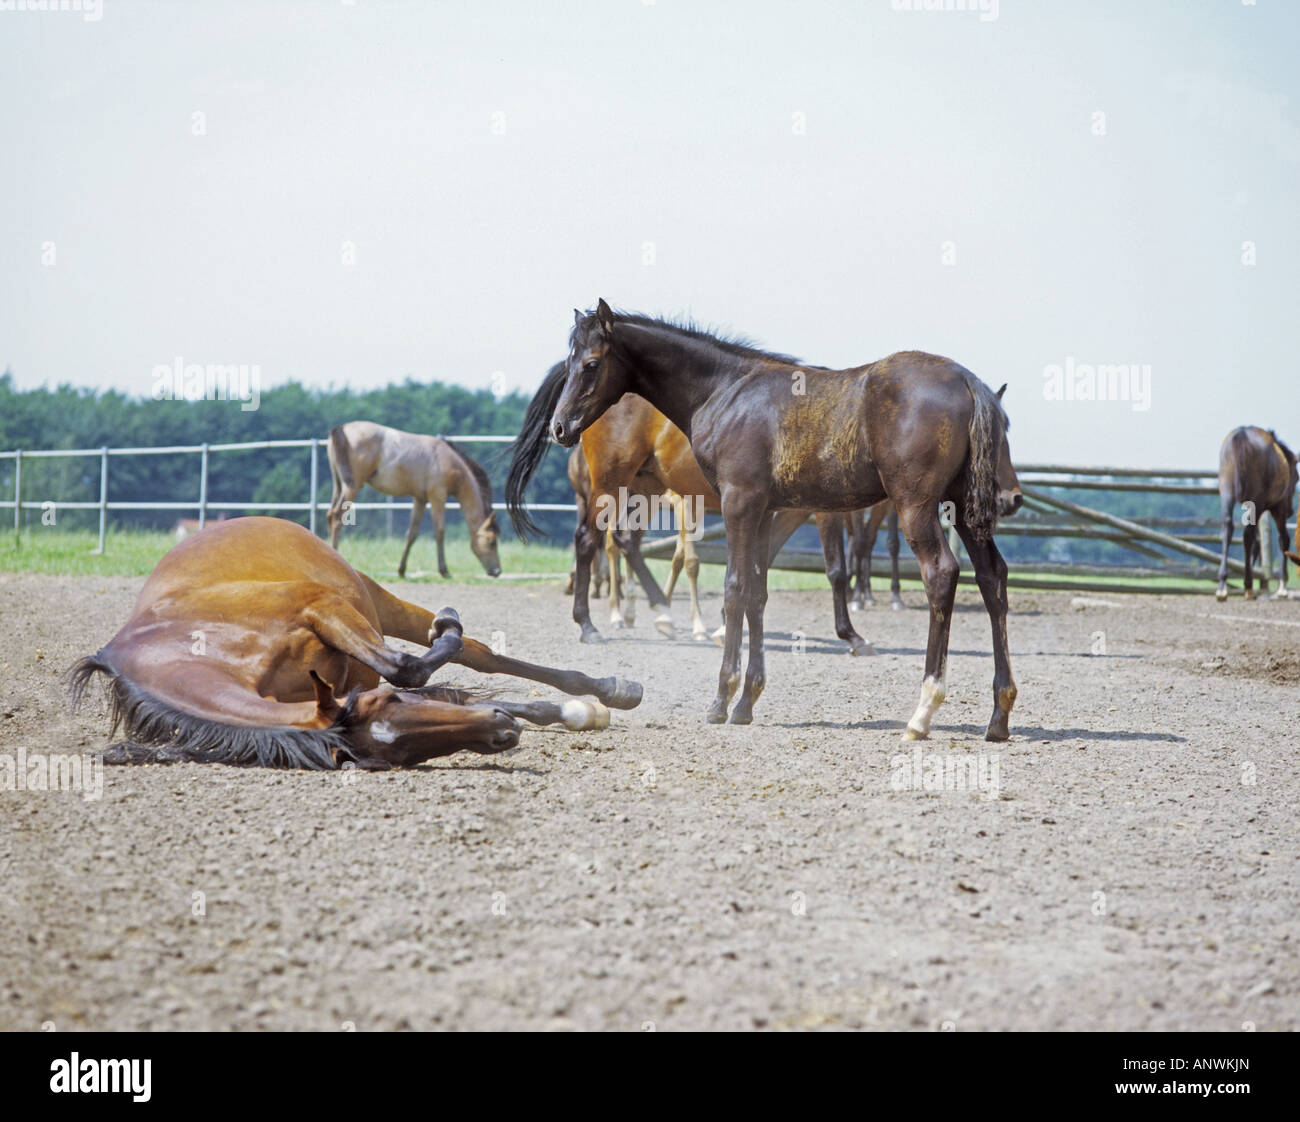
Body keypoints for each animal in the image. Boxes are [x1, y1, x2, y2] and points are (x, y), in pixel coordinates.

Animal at [69, 520, 639, 769]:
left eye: (385, 701)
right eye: (391, 757)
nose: (502, 734)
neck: (180, 643)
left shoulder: (320, 606)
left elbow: (409, 667)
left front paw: (448, 625)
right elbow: (427, 683)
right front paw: (555, 713)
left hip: (370, 595)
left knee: (480, 652)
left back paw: (609, 686)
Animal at [325, 421, 501, 579]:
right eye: (492, 541)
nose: (497, 571)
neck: (449, 461)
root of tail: (341, 429)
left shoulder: (420, 499)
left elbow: (412, 534)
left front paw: (401, 570)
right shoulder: (437, 497)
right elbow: (440, 531)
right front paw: (444, 571)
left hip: (338, 486)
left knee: (330, 516)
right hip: (351, 487)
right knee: (337, 518)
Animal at [512, 302, 1019, 743]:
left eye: (591, 363)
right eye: (570, 362)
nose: (560, 427)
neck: (725, 391)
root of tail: (967, 381)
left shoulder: (740, 502)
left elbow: (736, 588)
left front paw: (721, 699)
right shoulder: (764, 509)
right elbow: (758, 590)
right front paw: (747, 702)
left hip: (916, 505)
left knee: (942, 574)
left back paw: (923, 711)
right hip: (964, 510)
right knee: (993, 578)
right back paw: (999, 713)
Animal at [1216, 426, 1300, 600]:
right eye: (1296, 478)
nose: (1290, 511)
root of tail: (1241, 435)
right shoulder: (1277, 507)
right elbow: (1283, 540)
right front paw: (1283, 586)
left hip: (1226, 490)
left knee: (1228, 529)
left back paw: (1223, 585)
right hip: (1259, 501)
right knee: (1248, 535)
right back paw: (1248, 586)